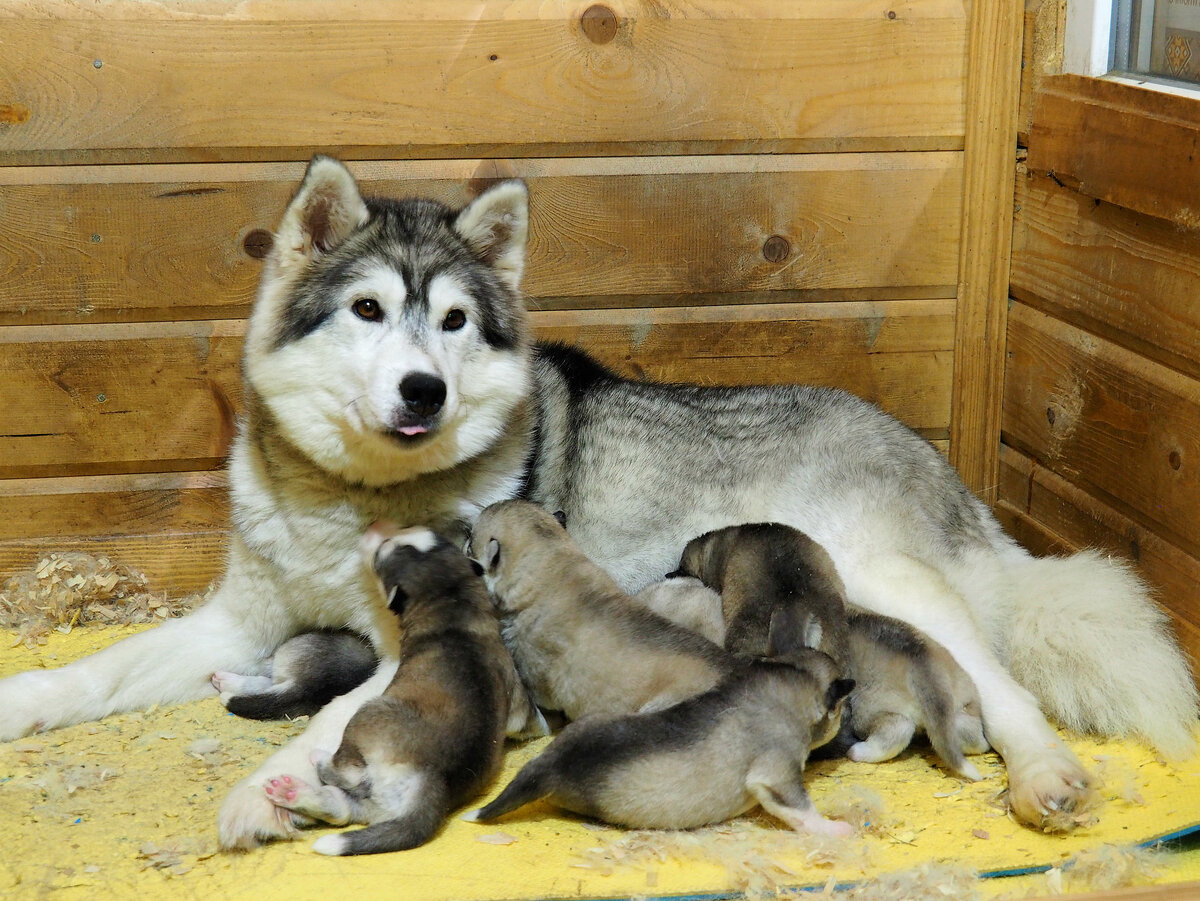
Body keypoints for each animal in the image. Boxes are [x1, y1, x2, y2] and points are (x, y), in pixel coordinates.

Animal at [265, 520, 547, 854]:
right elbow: (527, 719)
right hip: (374, 805)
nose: (376, 524)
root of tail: (431, 783)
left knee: (346, 773)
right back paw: (293, 794)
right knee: (343, 810)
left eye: (380, 553)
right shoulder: (514, 694)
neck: (451, 601)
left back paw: (318, 759)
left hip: (370, 713)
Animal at [468, 614, 854, 839]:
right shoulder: (776, 772)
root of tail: (551, 766)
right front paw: (833, 829)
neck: (794, 677)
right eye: (838, 712)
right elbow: (801, 808)